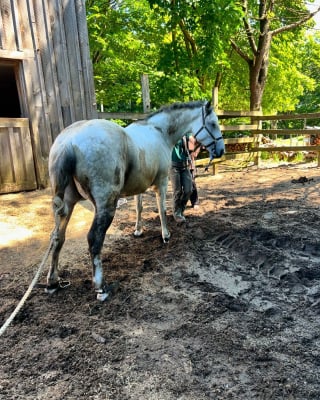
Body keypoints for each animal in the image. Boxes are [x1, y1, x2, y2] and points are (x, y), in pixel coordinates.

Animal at [47, 100, 225, 300]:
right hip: (106, 206)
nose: (221, 150)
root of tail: (69, 142)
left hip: (67, 203)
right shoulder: (162, 182)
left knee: (57, 237)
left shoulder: (139, 187)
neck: (160, 132)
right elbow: (162, 209)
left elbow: (139, 208)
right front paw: (165, 235)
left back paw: (53, 282)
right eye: (213, 124)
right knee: (94, 239)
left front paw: (138, 230)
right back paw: (101, 287)